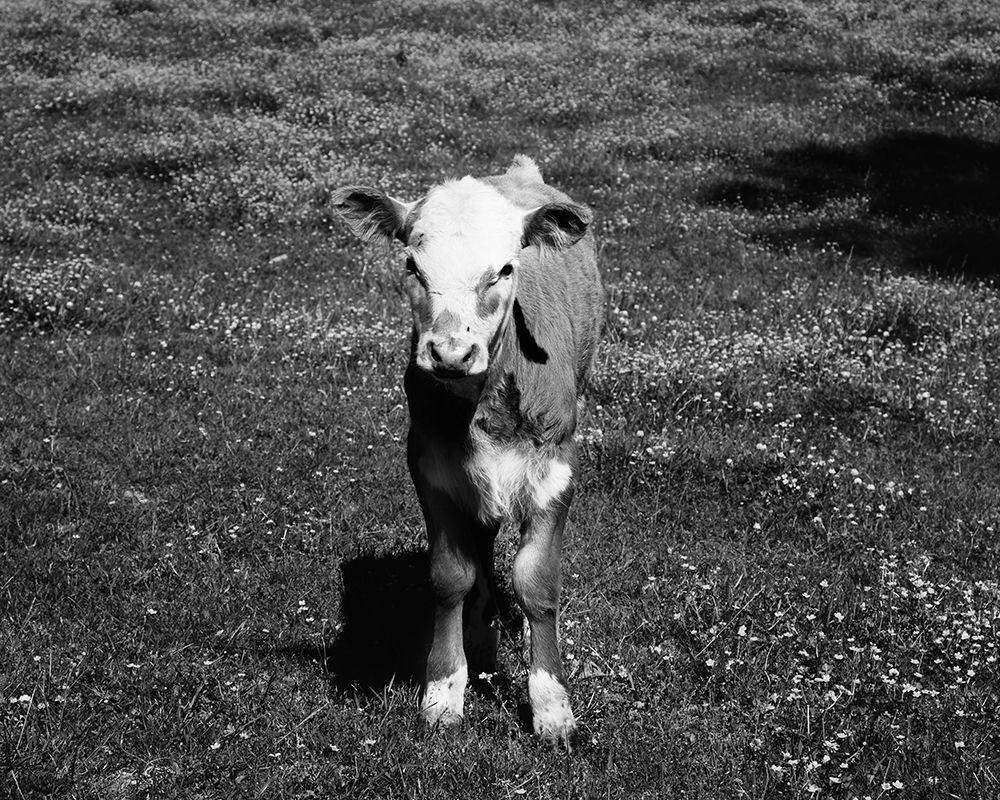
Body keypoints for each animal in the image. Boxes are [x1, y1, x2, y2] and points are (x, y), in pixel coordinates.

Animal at [331, 155, 602, 746]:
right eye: (413, 266)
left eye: (504, 269)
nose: (451, 353)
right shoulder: (430, 465)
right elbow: (451, 575)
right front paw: (443, 691)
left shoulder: (557, 467)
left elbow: (535, 581)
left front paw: (551, 706)